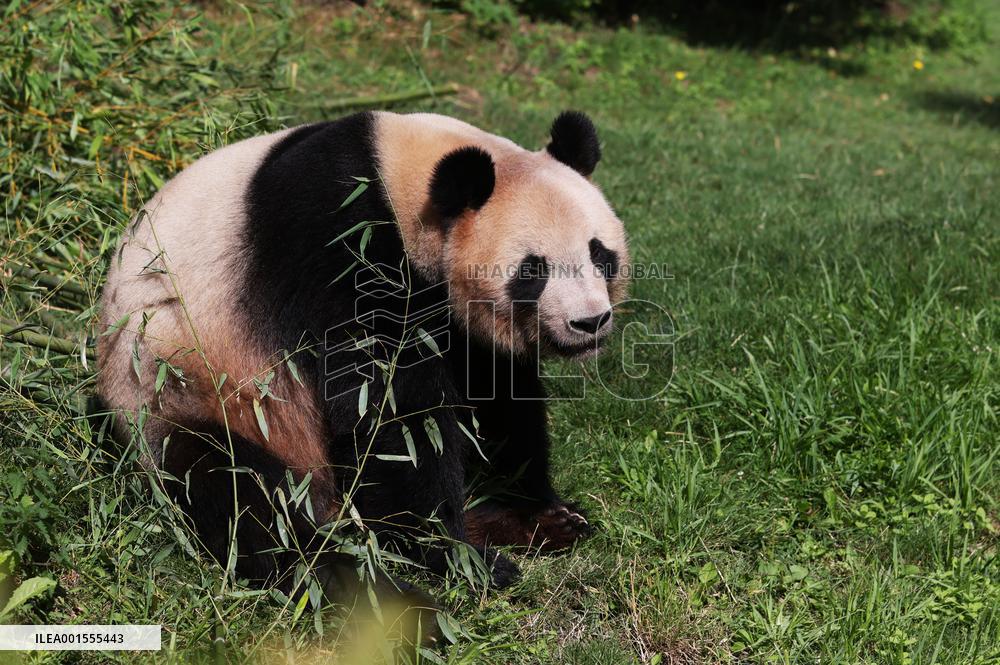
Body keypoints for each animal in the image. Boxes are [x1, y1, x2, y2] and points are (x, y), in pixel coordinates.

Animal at [96, 110, 630, 600]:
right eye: (533, 270)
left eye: (599, 254)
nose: (589, 323)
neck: (400, 179)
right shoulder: (338, 240)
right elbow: (389, 409)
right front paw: (456, 554)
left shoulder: (455, 320)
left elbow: (495, 399)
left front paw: (538, 508)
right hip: (182, 389)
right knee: (237, 492)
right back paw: (362, 587)